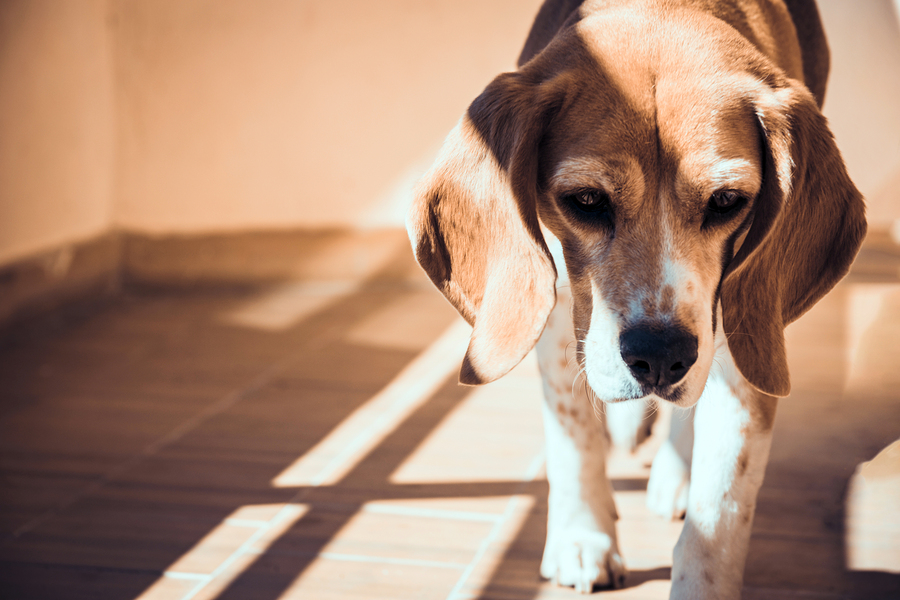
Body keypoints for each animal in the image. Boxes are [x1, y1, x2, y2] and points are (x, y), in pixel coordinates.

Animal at [406, 0, 864, 596]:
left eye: (726, 201)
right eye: (585, 199)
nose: (661, 357)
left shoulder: (741, 328)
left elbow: (721, 507)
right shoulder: (558, 304)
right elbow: (572, 426)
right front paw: (583, 535)